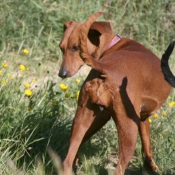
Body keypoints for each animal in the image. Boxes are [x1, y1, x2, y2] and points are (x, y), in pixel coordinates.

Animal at [58, 11, 172, 174]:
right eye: (62, 48)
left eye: (75, 48)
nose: (61, 74)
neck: (112, 45)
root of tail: (106, 68)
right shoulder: (139, 119)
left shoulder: (117, 117)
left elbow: (147, 147)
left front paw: (150, 166)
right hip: (129, 131)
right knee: (119, 168)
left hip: (81, 120)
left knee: (67, 159)